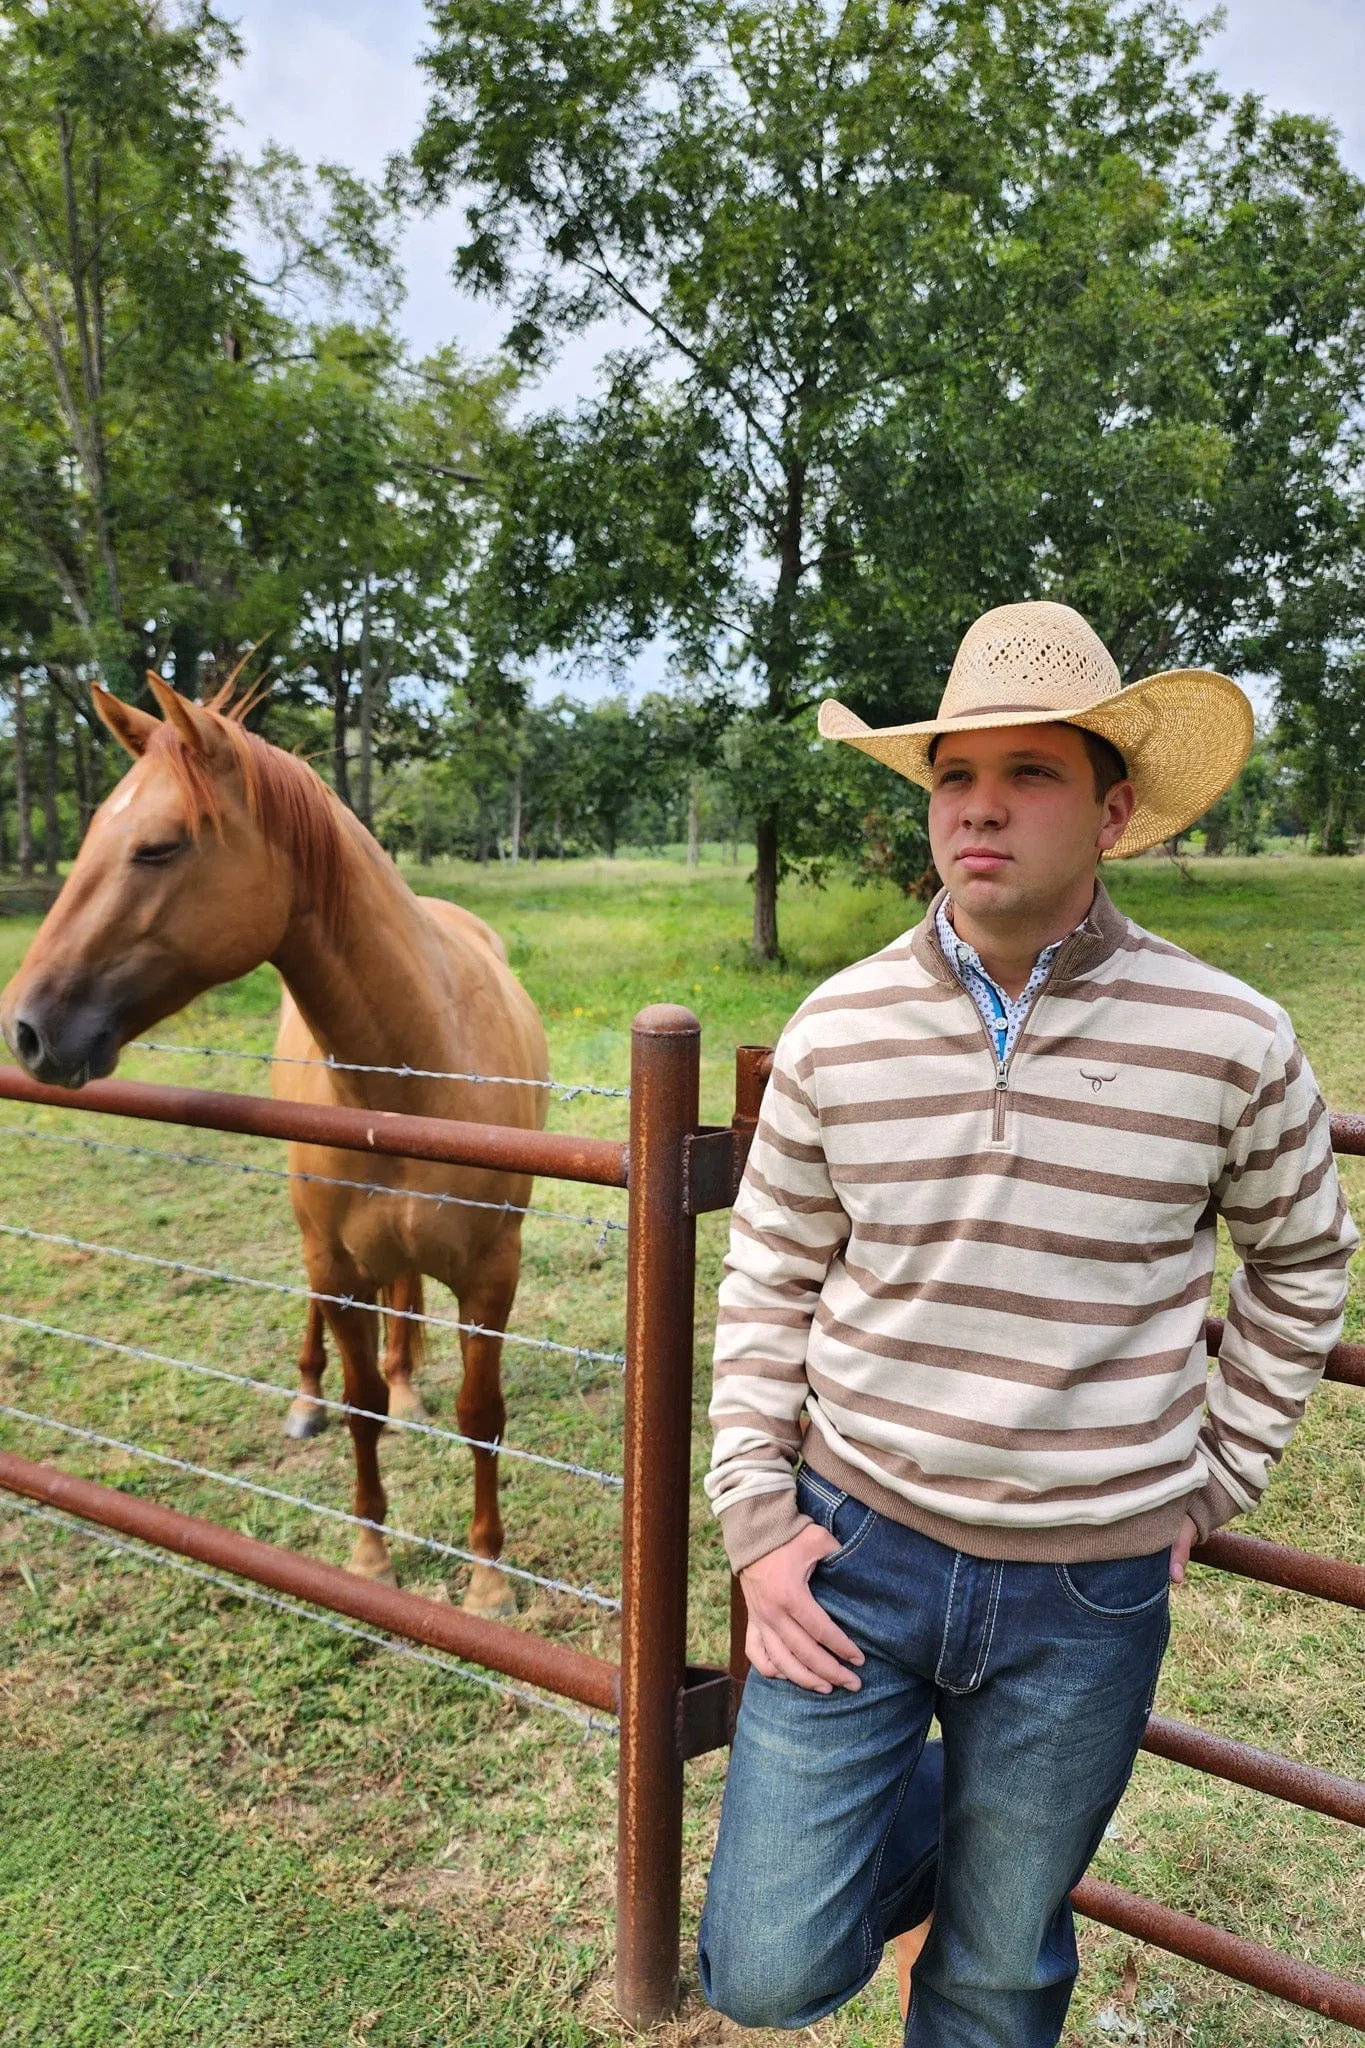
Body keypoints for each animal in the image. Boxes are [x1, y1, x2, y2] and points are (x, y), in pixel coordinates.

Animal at [6, 675, 548, 1613]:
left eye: (158, 848)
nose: (29, 1030)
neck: (417, 1071)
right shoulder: (336, 1264)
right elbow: (362, 1405)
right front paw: (370, 1556)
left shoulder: (491, 1275)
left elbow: (483, 1419)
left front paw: (487, 1583)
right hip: (322, 1254)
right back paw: (308, 1399)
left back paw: (409, 1383)